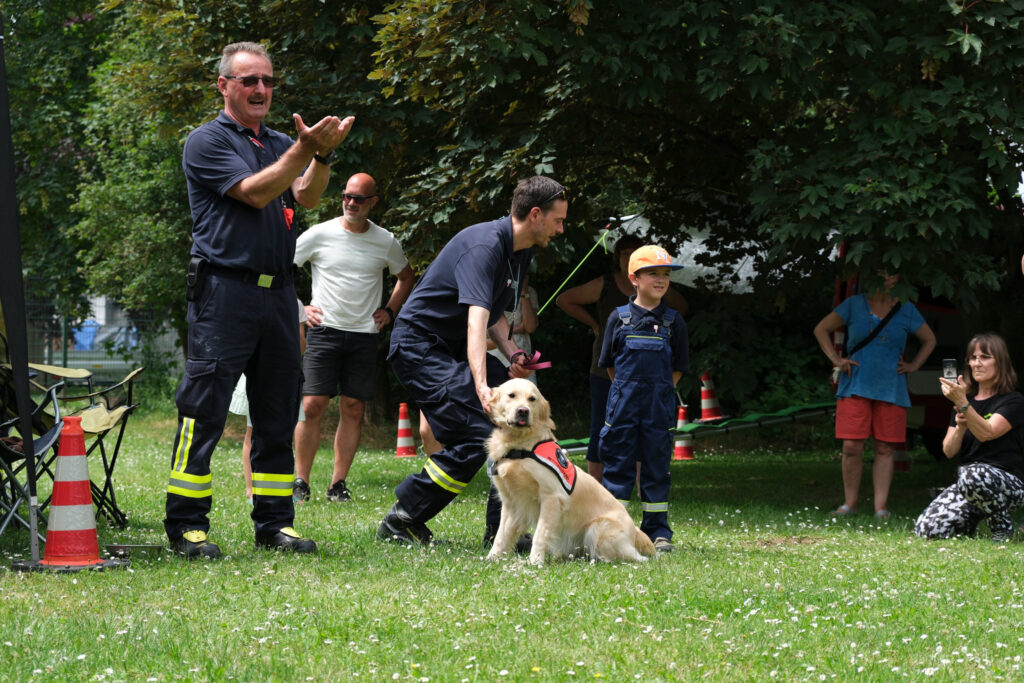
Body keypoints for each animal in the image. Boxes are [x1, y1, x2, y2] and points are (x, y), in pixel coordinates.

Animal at [485, 378, 655, 565]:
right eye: (512, 395)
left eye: (532, 399)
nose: (523, 411)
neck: (519, 446)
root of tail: (635, 531)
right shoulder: (511, 502)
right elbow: (501, 535)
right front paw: (491, 558)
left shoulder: (551, 497)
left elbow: (540, 533)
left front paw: (535, 561)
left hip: (598, 527)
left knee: (631, 558)